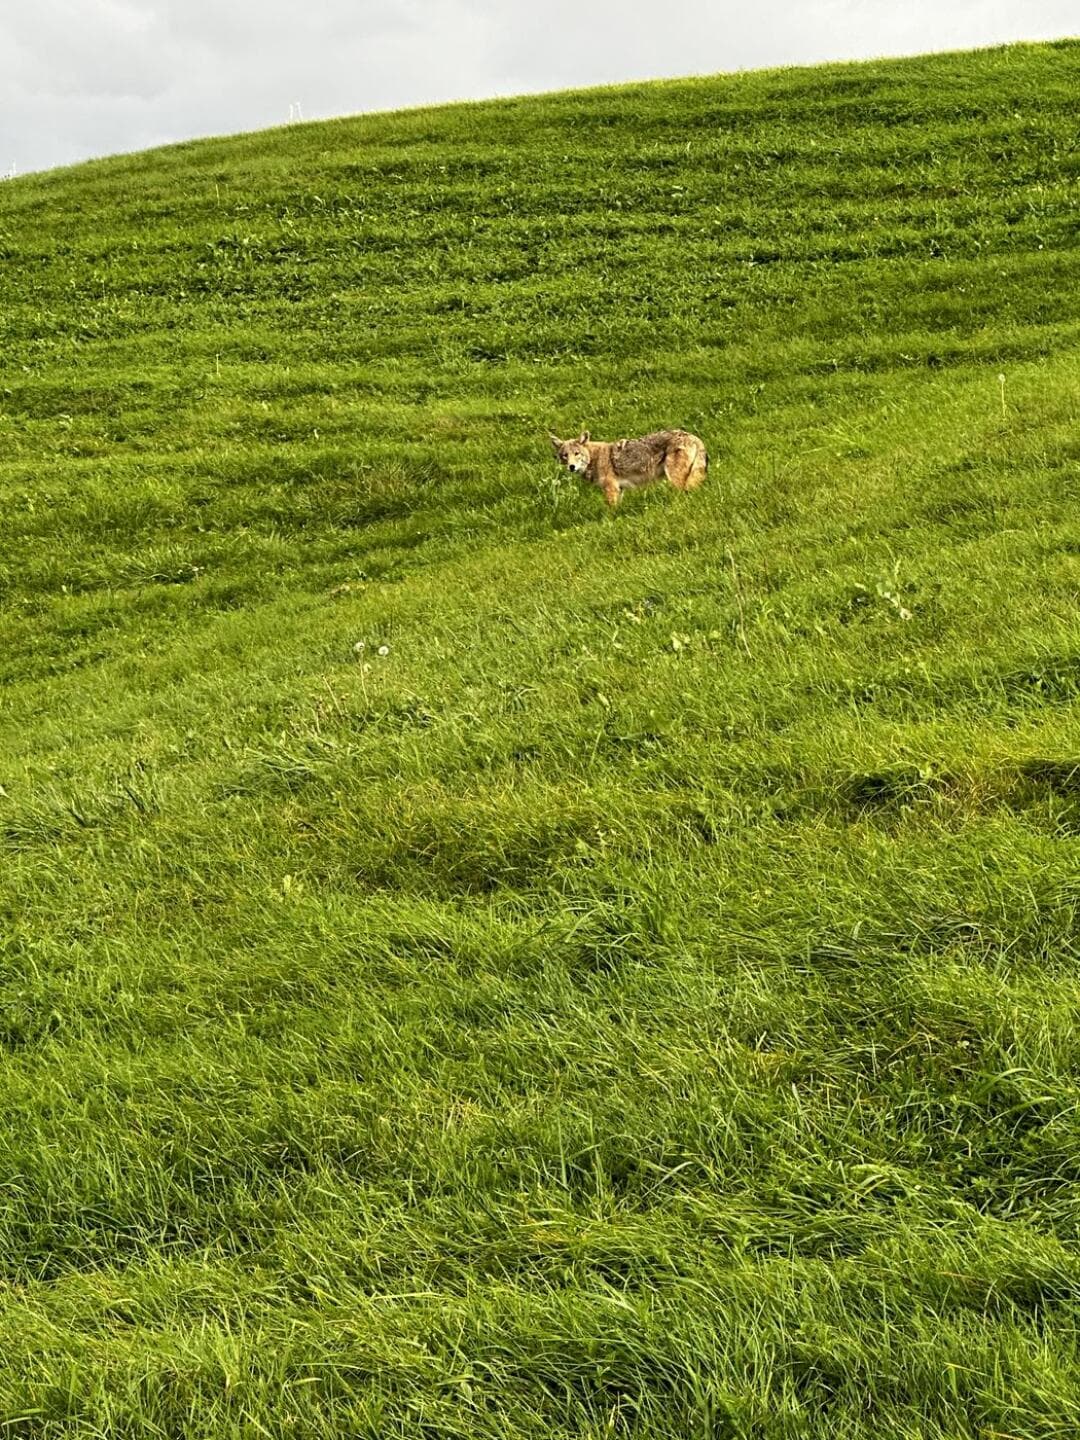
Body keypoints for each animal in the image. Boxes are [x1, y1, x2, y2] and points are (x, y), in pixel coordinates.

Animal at [548, 428, 708, 506]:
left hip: (675, 479)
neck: (595, 458)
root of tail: (693, 436)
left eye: (576, 453)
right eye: (565, 456)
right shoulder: (620, 490)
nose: (572, 467)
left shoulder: (611, 489)